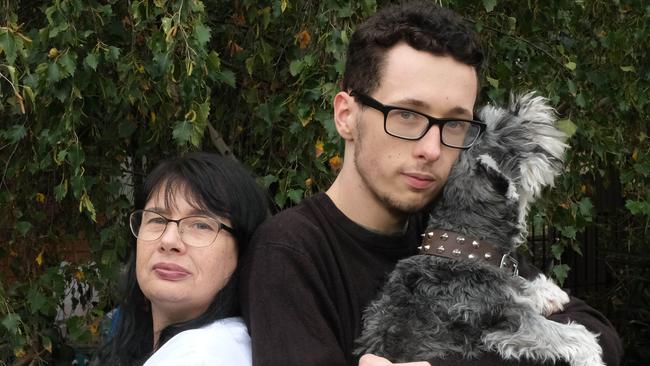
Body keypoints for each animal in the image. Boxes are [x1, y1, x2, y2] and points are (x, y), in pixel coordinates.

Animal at [354, 93, 604, 364]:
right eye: (505, 133)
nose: (533, 105)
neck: (464, 247)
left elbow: (521, 284)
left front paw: (549, 292)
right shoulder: (511, 321)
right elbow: (574, 335)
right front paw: (593, 357)